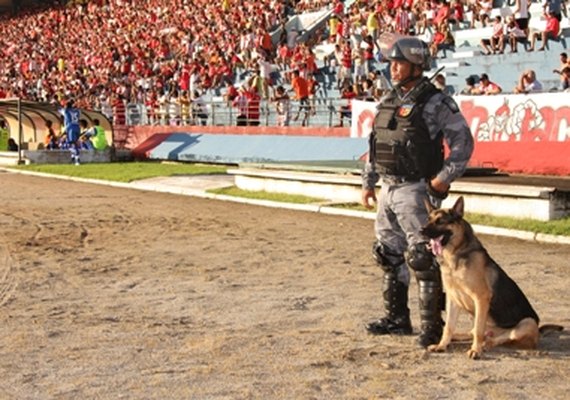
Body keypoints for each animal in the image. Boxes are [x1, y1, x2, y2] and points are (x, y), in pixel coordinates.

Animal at [422, 197, 560, 360]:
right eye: (428, 219)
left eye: (440, 221)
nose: (421, 230)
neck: (456, 253)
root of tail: (538, 333)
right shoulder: (453, 299)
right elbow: (449, 327)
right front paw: (442, 345)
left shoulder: (481, 298)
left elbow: (478, 332)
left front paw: (475, 350)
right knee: (473, 332)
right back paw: (458, 338)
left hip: (527, 322)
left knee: (496, 337)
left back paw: (485, 344)